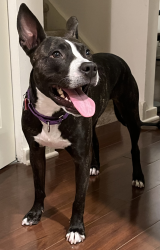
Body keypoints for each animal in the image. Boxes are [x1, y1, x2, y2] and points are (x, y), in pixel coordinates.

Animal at [16, 3, 153, 246]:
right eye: (56, 54)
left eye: (87, 52)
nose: (91, 67)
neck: (52, 115)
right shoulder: (36, 151)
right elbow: (39, 186)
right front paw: (35, 214)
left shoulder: (80, 158)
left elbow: (79, 198)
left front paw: (76, 229)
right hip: (95, 120)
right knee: (96, 142)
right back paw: (95, 166)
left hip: (130, 114)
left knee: (135, 148)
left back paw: (138, 177)